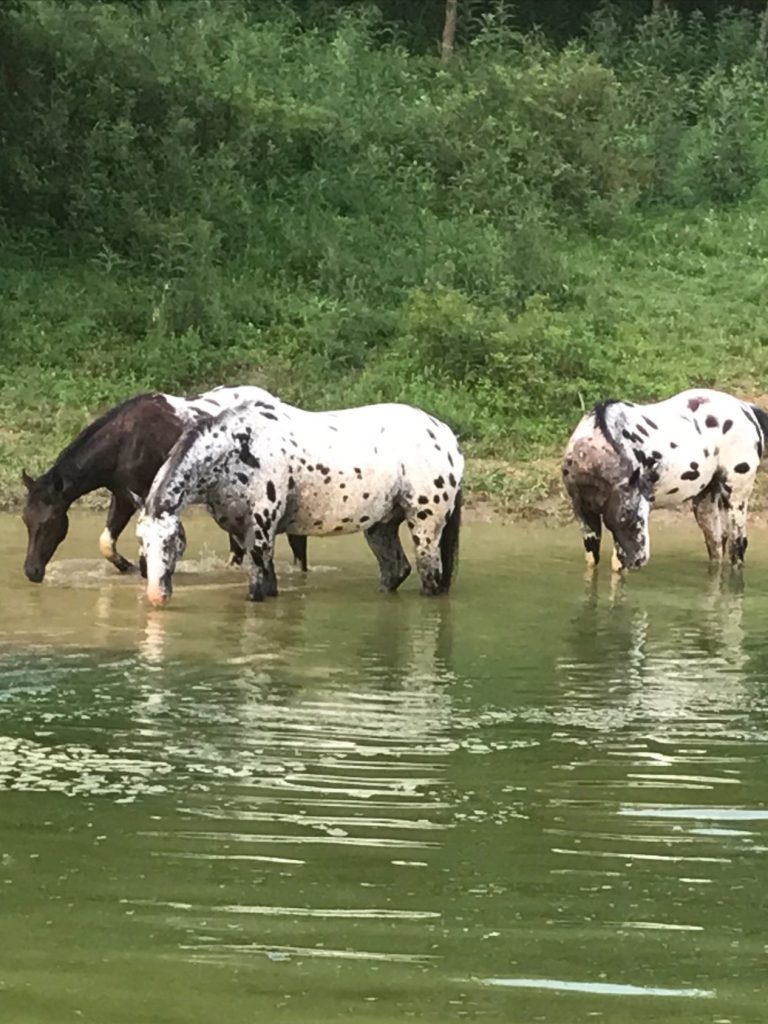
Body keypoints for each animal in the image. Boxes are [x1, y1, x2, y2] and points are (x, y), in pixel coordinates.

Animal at [21, 386, 308, 583]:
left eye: (48, 522)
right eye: (26, 520)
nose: (32, 571)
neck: (122, 444)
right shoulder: (122, 496)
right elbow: (107, 543)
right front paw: (128, 567)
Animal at [135, 394, 464, 607]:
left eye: (172, 542)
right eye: (142, 541)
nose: (155, 596)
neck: (239, 448)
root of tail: (446, 435)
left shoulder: (260, 533)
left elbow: (257, 590)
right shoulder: (243, 532)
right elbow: (269, 585)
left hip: (425, 526)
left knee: (430, 578)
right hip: (380, 526)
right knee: (395, 570)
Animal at [562, 388, 768, 571]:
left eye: (634, 515)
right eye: (626, 515)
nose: (638, 561)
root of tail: (746, 408)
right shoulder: (587, 518)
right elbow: (592, 562)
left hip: (736, 498)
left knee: (737, 546)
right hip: (705, 502)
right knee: (717, 546)